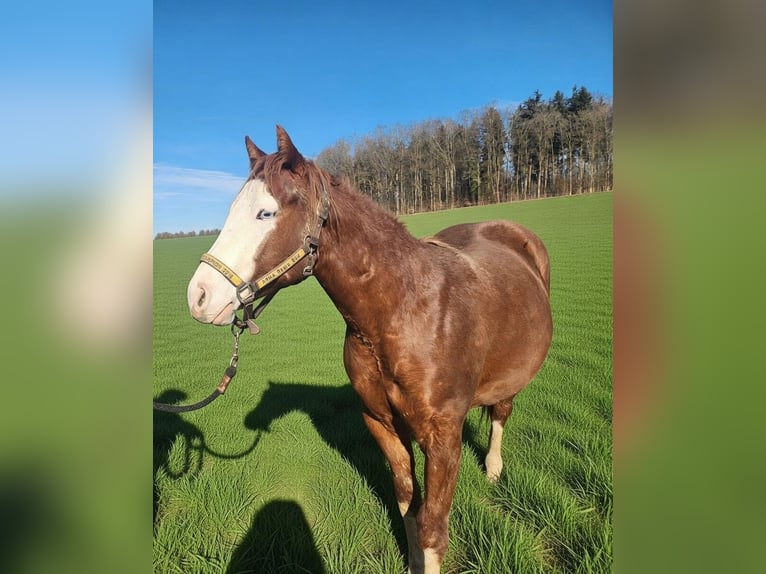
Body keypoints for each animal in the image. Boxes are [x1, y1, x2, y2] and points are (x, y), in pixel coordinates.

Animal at [187, 126, 553, 574]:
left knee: (501, 412)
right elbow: (409, 507)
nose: (199, 297)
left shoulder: (443, 438)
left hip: (511, 377)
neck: (401, 311)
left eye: (265, 214)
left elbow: (433, 527)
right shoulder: (381, 423)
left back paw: (495, 469)